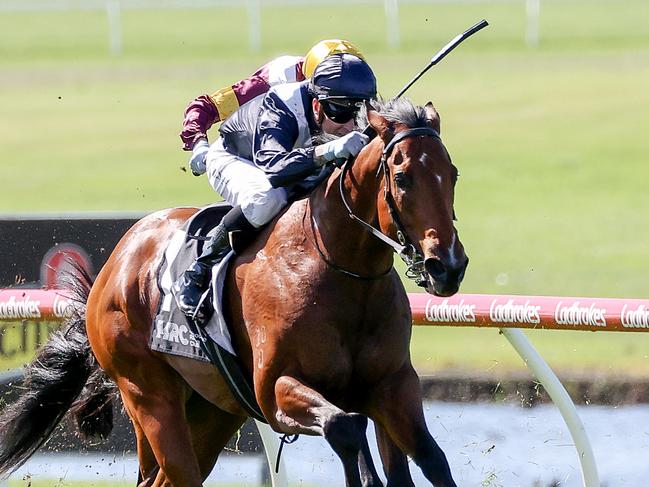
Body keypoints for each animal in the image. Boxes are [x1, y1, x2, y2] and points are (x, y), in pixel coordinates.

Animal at [0, 97, 466, 486]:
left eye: (453, 174)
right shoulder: (274, 390)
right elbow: (345, 425)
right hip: (147, 393)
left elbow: (432, 458)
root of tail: (116, 261)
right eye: (402, 178)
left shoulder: (392, 384)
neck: (338, 272)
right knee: (178, 470)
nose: (447, 266)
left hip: (213, 408)